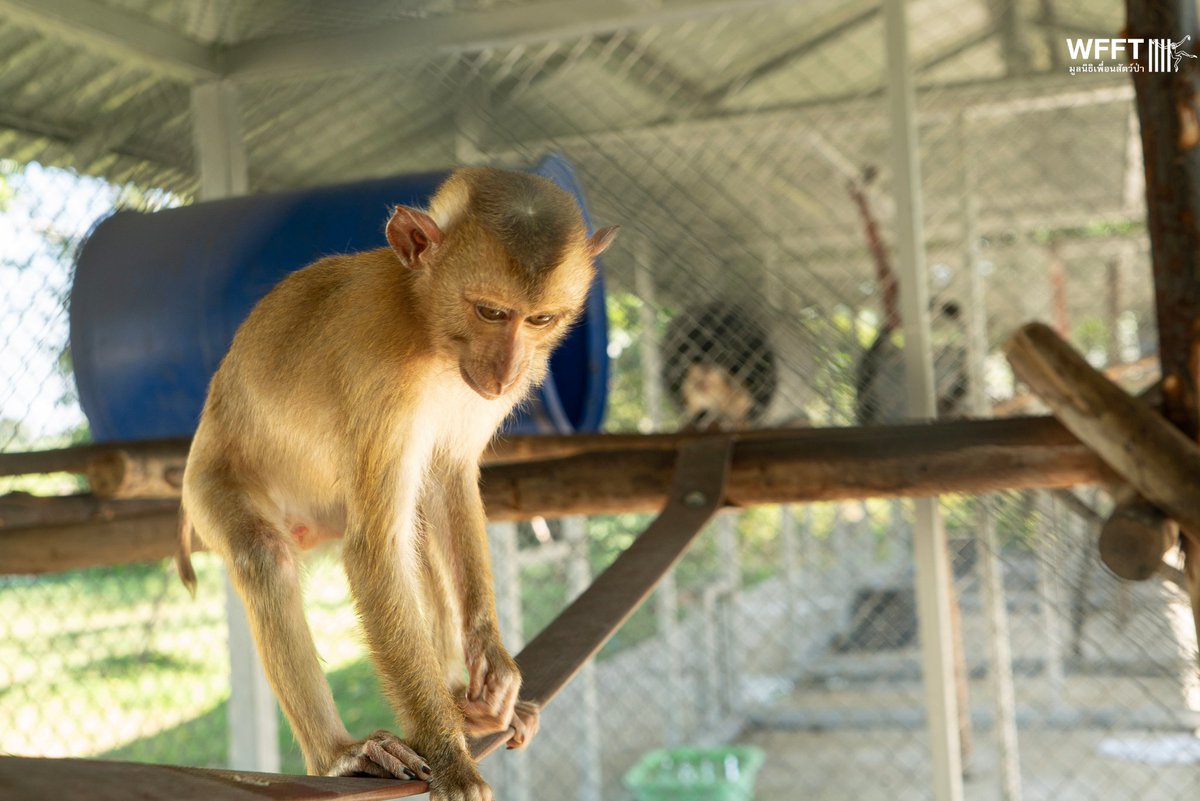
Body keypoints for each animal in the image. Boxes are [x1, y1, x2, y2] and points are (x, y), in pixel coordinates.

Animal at [176, 166, 618, 801]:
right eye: (490, 312)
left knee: (419, 527)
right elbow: (374, 552)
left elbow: (448, 478)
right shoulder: (383, 375)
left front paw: (491, 663)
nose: (509, 370)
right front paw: (451, 759)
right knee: (267, 555)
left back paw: (463, 703)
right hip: (209, 484)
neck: (426, 325)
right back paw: (340, 753)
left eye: (540, 319)